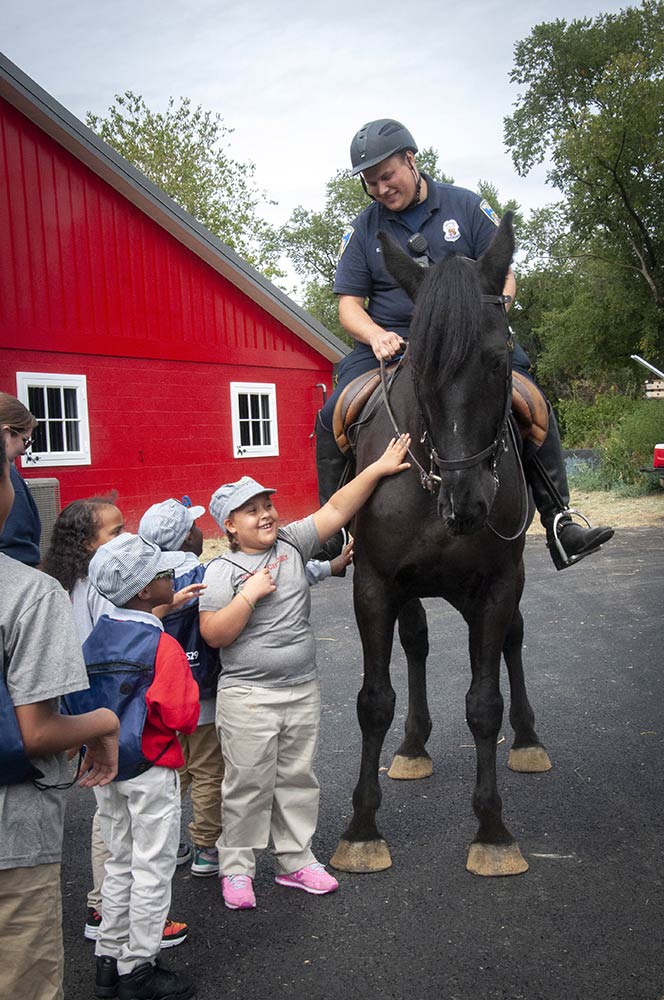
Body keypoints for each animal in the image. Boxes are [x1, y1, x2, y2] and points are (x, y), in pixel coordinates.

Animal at [330, 211, 552, 876]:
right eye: (420, 366)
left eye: (500, 359)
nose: (468, 502)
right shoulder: (375, 584)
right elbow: (374, 700)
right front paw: (362, 828)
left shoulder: (499, 584)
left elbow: (484, 704)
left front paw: (493, 831)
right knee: (418, 644)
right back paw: (412, 746)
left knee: (511, 642)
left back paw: (527, 740)